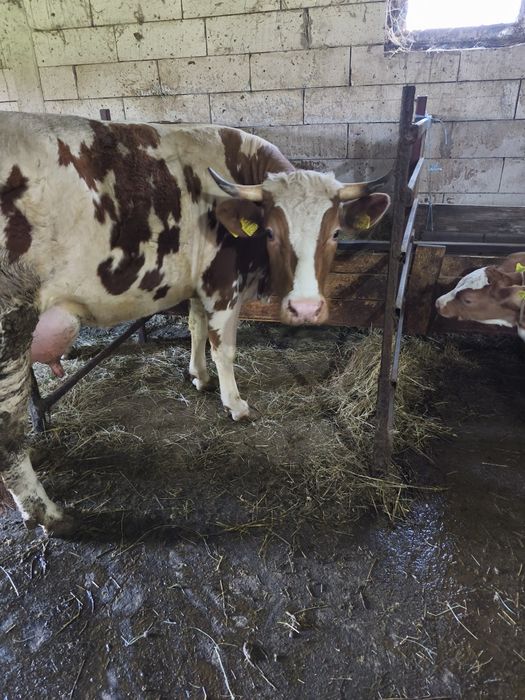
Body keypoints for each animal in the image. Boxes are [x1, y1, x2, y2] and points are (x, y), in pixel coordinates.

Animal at [0, 111, 391, 534]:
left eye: (335, 232)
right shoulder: (223, 284)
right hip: (10, 327)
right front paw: (235, 403)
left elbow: (196, 327)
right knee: (8, 436)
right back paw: (48, 513)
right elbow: (224, 347)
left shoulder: (199, 282)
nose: (305, 308)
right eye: (271, 232)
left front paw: (198, 376)